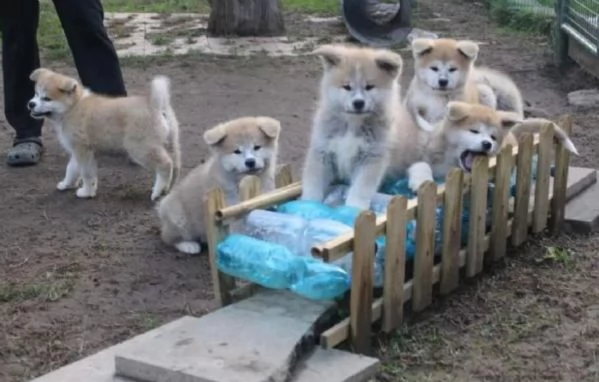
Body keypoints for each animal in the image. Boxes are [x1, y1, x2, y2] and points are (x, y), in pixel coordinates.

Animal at [28, 67, 182, 201]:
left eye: (47, 98)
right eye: (36, 94)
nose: (30, 104)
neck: (73, 107)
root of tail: (155, 106)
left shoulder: (83, 151)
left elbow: (87, 174)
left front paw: (86, 192)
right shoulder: (76, 151)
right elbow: (71, 169)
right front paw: (66, 184)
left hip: (140, 148)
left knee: (165, 165)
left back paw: (158, 191)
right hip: (169, 144)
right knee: (174, 165)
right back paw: (167, 189)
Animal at [300, 45, 404, 212]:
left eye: (369, 87)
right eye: (346, 87)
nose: (358, 103)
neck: (352, 124)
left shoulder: (371, 156)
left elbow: (361, 188)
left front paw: (354, 208)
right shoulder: (322, 151)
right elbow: (313, 183)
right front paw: (308, 204)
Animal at [406, 100, 580, 192]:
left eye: (493, 137)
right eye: (474, 131)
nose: (487, 144)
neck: (451, 162)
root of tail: (511, 133)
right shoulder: (427, 156)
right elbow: (421, 165)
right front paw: (421, 181)